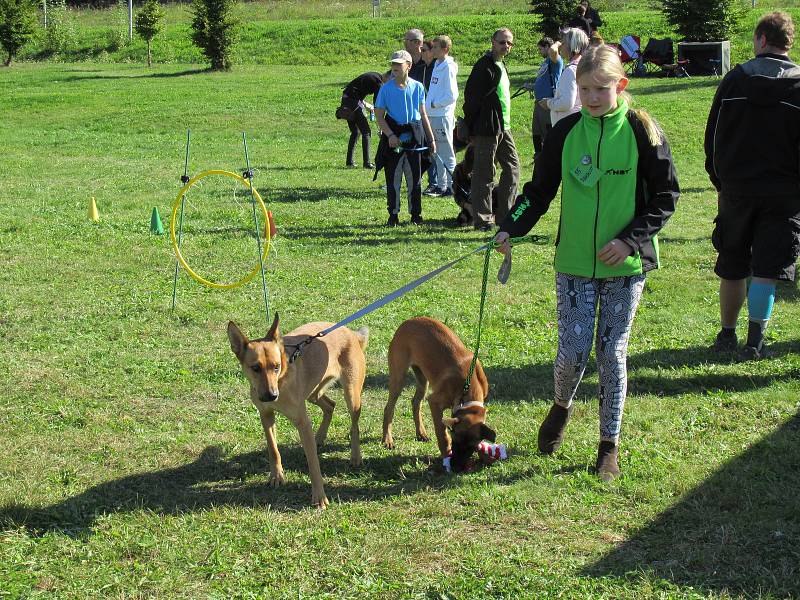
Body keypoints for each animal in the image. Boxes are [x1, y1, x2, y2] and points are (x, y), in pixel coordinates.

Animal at [225, 316, 368, 508]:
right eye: (255, 368)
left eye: (276, 366)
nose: (271, 395)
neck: (281, 380)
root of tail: (351, 333)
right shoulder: (266, 415)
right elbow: (273, 449)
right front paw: (276, 476)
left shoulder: (303, 422)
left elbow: (313, 464)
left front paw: (319, 496)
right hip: (314, 393)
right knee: (330, 405)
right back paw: (319, 437)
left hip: (351, 394)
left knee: (354, 426)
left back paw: (355, 456)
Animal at [382, 316, 494, 472]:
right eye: (455, 440)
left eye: (471, 446)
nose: (456, 466)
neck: (467, 389)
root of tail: (409, 320)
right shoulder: (434, 402)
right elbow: (442, 434)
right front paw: (446, 455)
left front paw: (485, 456)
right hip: (399, 377)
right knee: (389, 408)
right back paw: (387, 439)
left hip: (422, 379)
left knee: (415, 402)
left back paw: (421, 433)